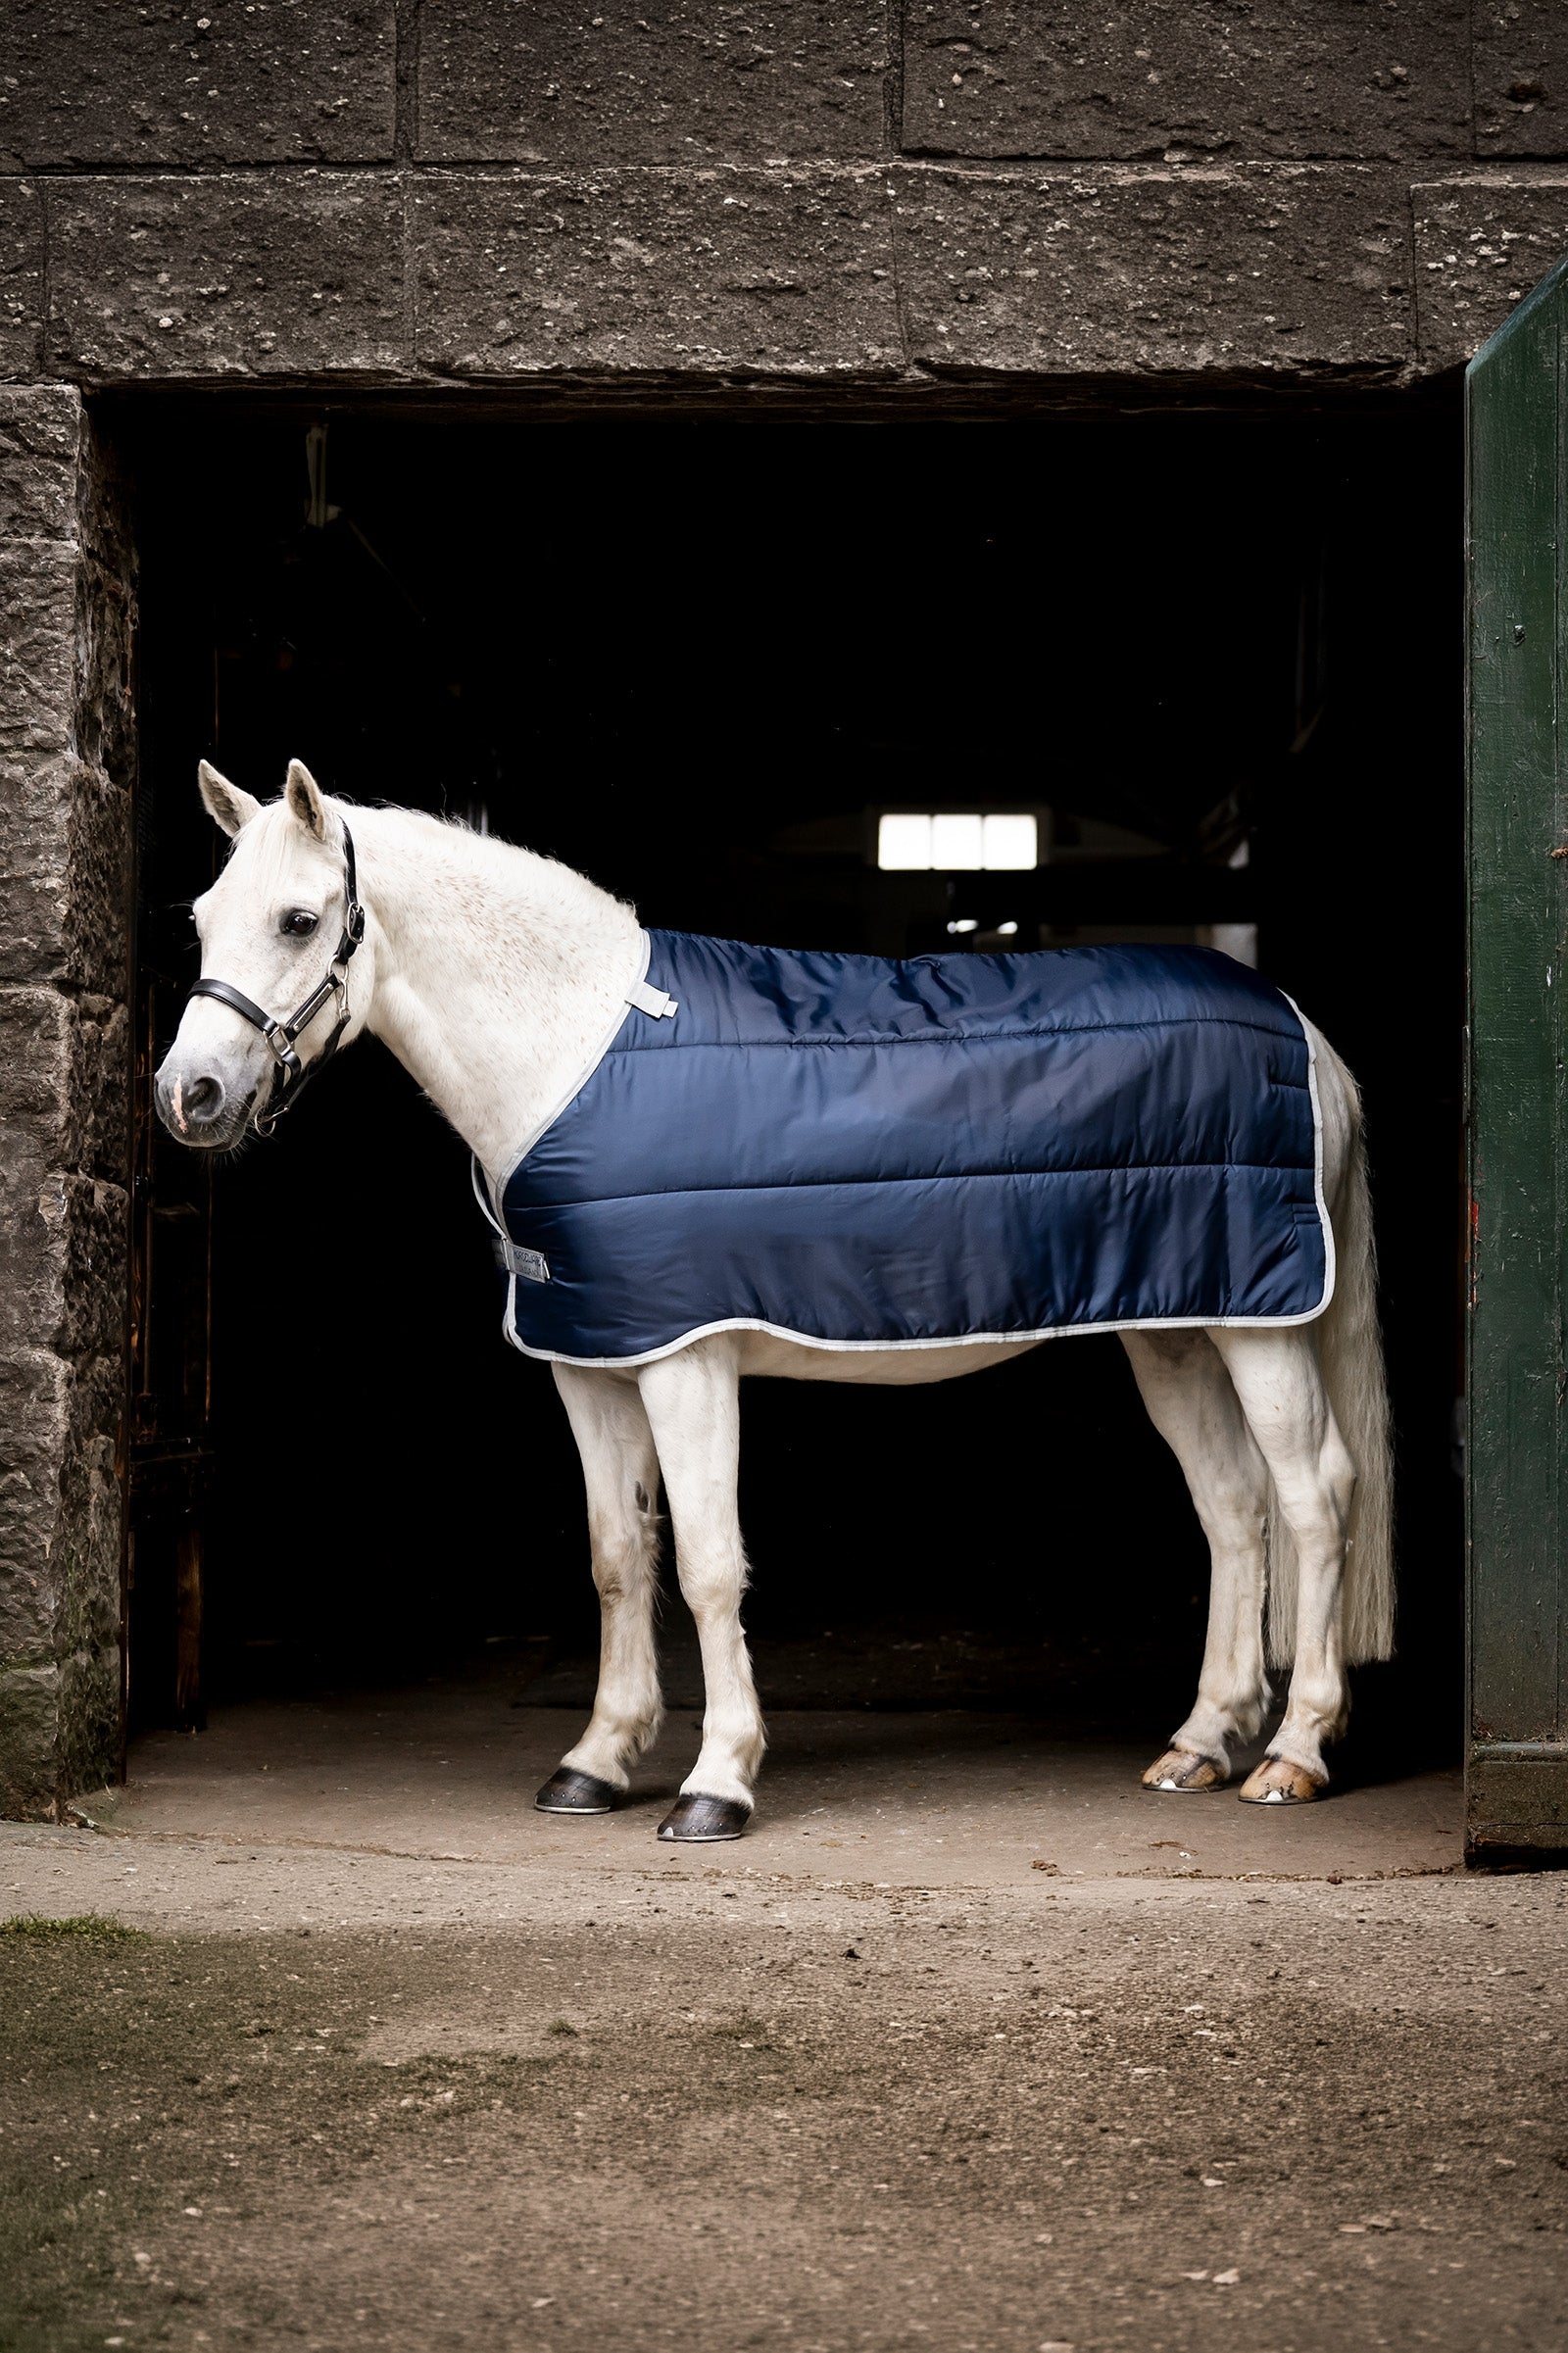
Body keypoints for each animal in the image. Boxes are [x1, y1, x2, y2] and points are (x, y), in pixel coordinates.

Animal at [154, 760, 1394, 1843]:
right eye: (205, 916)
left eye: (300, 920)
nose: (188, 1095)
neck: (579, 1045)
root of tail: (1302, 1030)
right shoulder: (590, 1358)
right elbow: (617, 1556)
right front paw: (596, 1761)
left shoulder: (684, 1358)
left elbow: (707, 1565)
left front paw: (716, 1783)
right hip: (1172, 1327)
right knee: (1230, 1505)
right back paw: (1200, 1741)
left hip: (1260, 1327)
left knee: (1311, 1497)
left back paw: (1293, 1751)